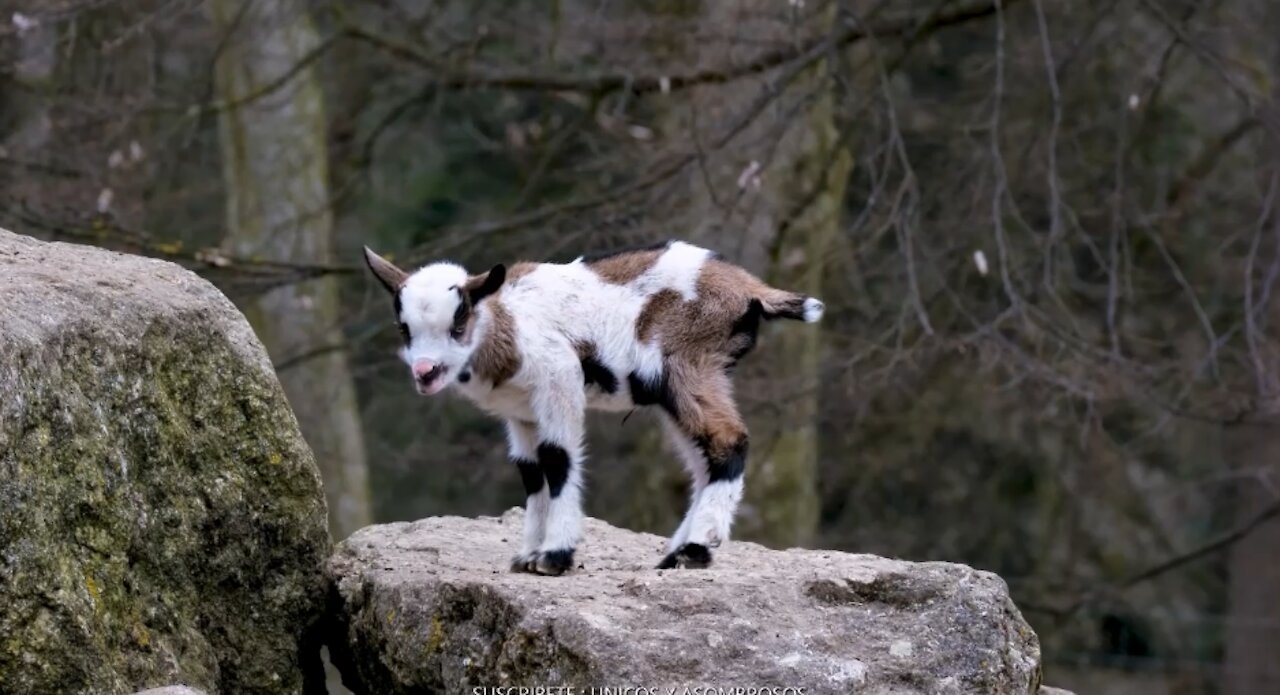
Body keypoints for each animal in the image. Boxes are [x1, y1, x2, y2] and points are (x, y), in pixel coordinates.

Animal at [363, 239, 819, 575]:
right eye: (405, 329)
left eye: (458, 325)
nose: (425, 371)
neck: (508, 324)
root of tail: (749, 288)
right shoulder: (522, 412)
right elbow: (531, 472)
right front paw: (527, 556)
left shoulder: (559, 378)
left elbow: (557, 458)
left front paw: (554, 556)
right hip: (678, 386)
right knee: (702, 460)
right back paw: (677, 553)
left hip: (686, 366)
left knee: (727, 440)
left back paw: (694, 548)